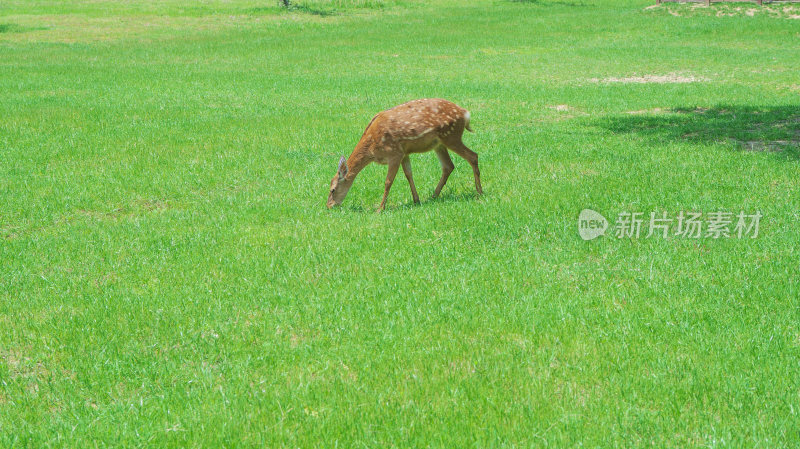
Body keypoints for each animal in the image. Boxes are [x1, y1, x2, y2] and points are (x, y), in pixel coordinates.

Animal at [324, 98, 482, 210]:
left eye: (332, 190)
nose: (329, 206)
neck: (372, 148)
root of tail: (465, 113)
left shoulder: (394, 153)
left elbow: (388, 181)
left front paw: (380, 208)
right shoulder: (404, 153)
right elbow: (408, 174)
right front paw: (416, 200)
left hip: (451, 136)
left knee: (473, 156)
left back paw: (479, 192)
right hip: (439, 144)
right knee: (448, 166)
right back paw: (433, 196)